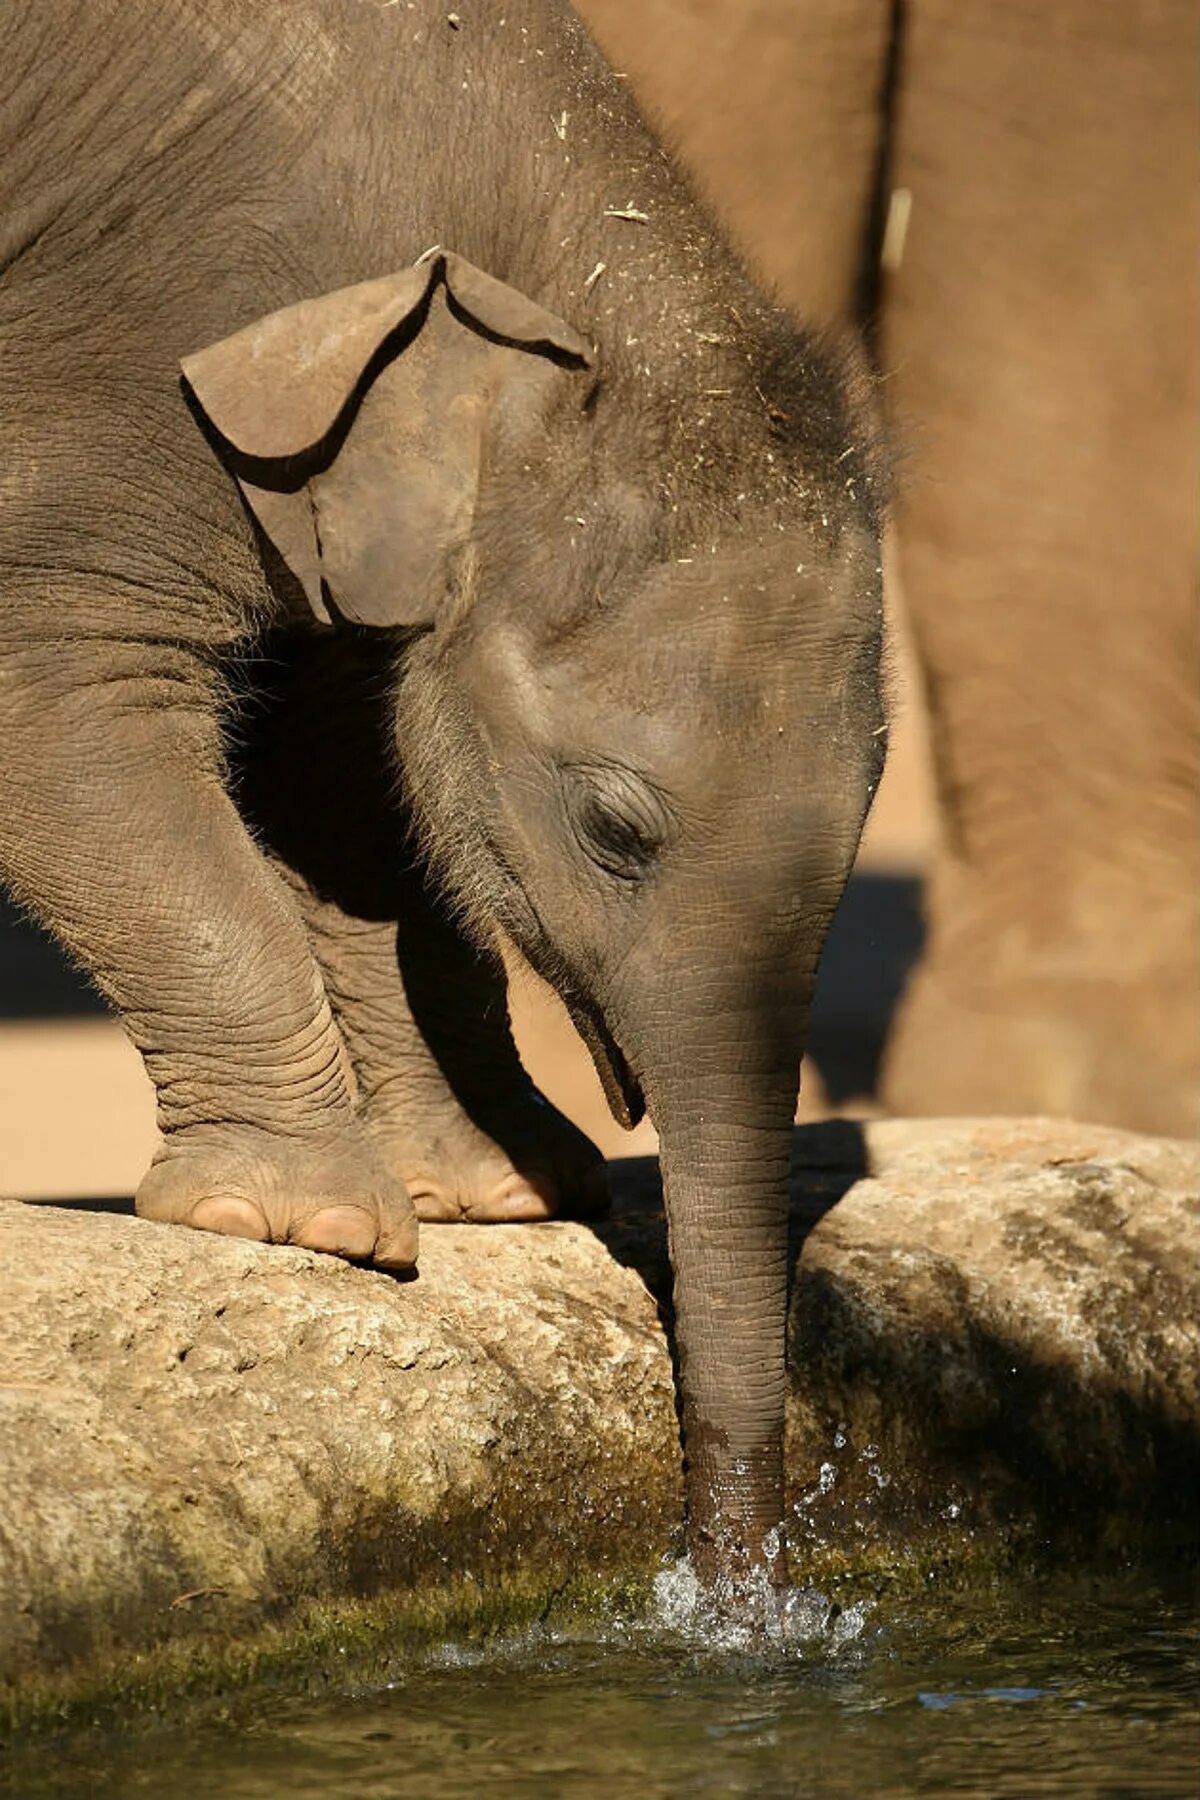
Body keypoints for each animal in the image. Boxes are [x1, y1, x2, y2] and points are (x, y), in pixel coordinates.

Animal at [0, 0, 881, 1584]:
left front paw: (502, 1193)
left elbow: (350, 770)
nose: (738, 1587)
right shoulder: (138, 343)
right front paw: (311, 1229)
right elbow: (60, 697)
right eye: (614, 830)